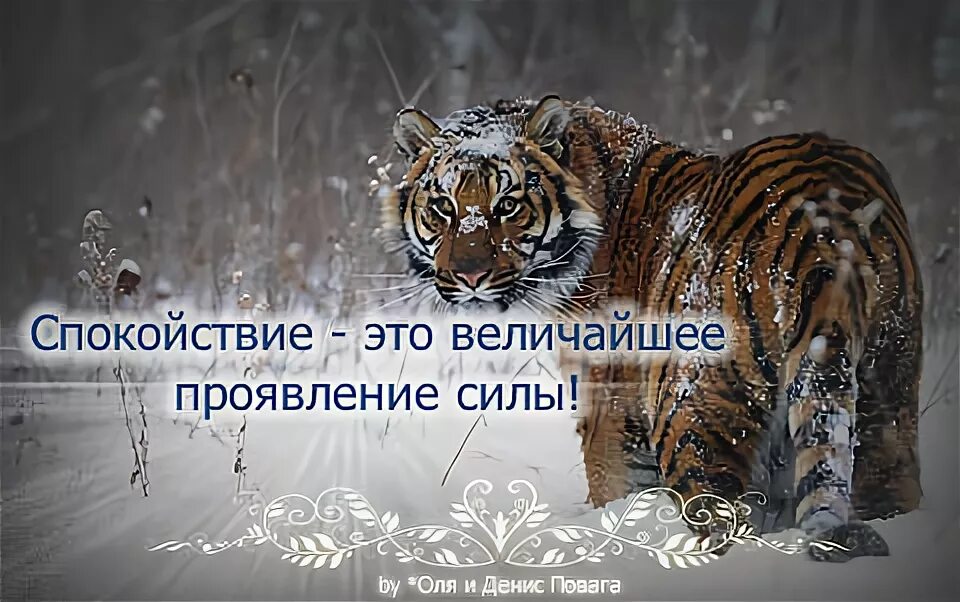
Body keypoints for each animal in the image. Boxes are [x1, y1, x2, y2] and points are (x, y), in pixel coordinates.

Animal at [379, 95, 923, 562]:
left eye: (507, 206)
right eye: (443, 207)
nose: (469, 277)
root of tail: (825, 220)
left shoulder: (610, 406)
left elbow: (611, 481)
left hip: (692, 409)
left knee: (722, 518)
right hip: (888, 391)